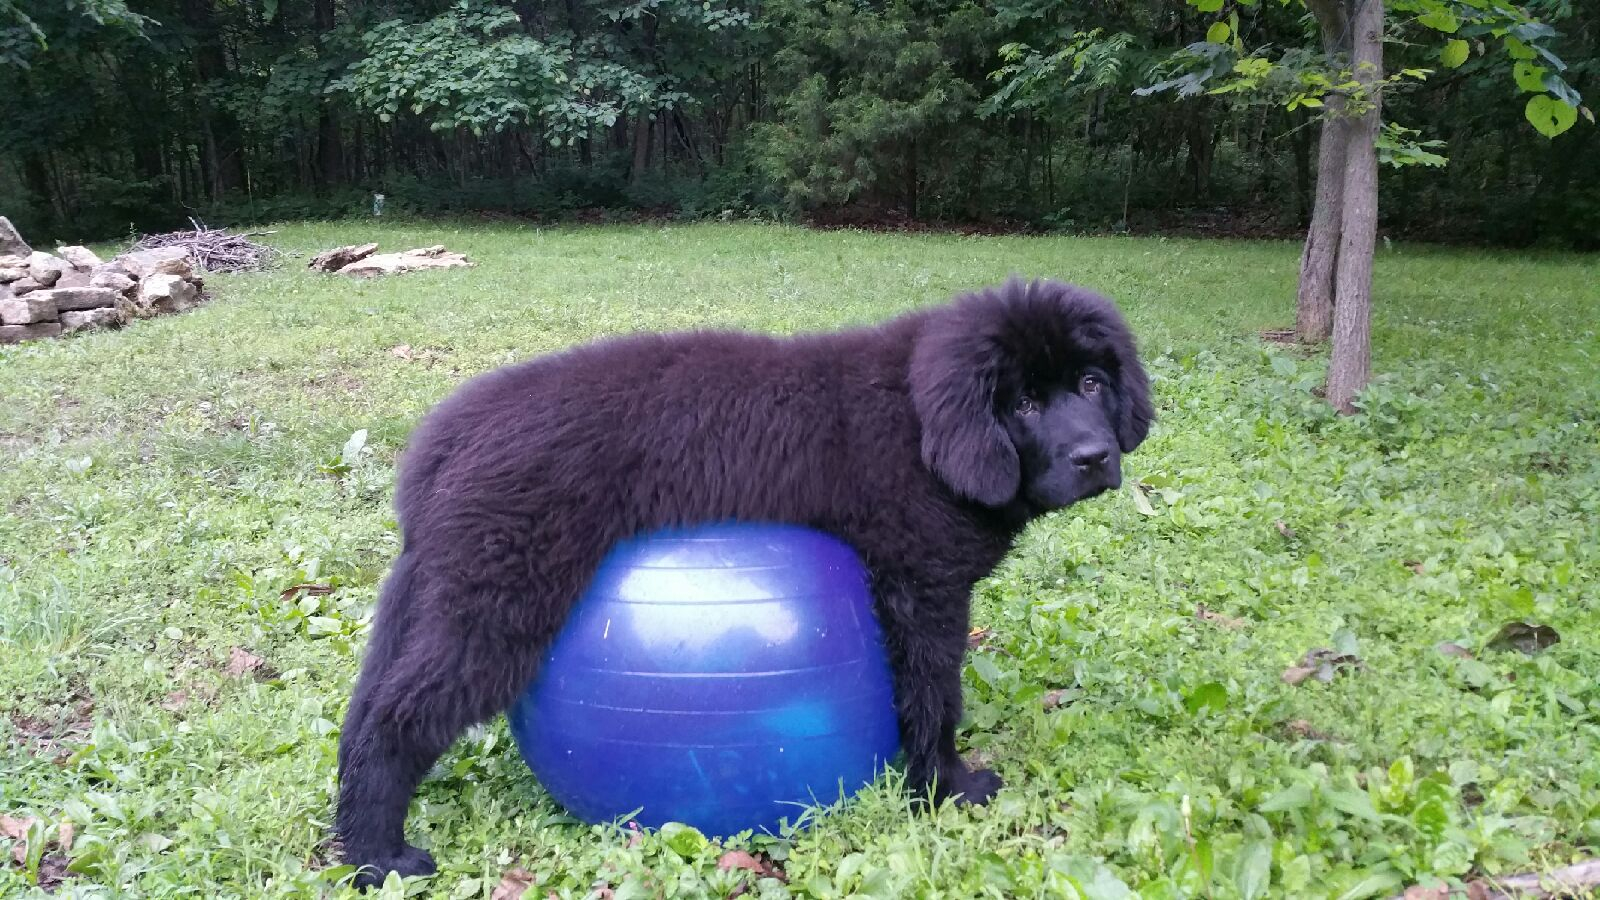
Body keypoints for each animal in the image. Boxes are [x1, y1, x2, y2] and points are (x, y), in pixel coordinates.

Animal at [334, 275, 1152, 883]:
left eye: (1090, 383)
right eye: (1023, 404)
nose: (1095, 458)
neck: (921, 423)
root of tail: (445, 438)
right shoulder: (922, 590)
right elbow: (931, 694)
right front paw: (949, 786)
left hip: (441, 589)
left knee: (369, 701)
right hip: (498, 603)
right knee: (396, 719)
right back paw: (380, 857)